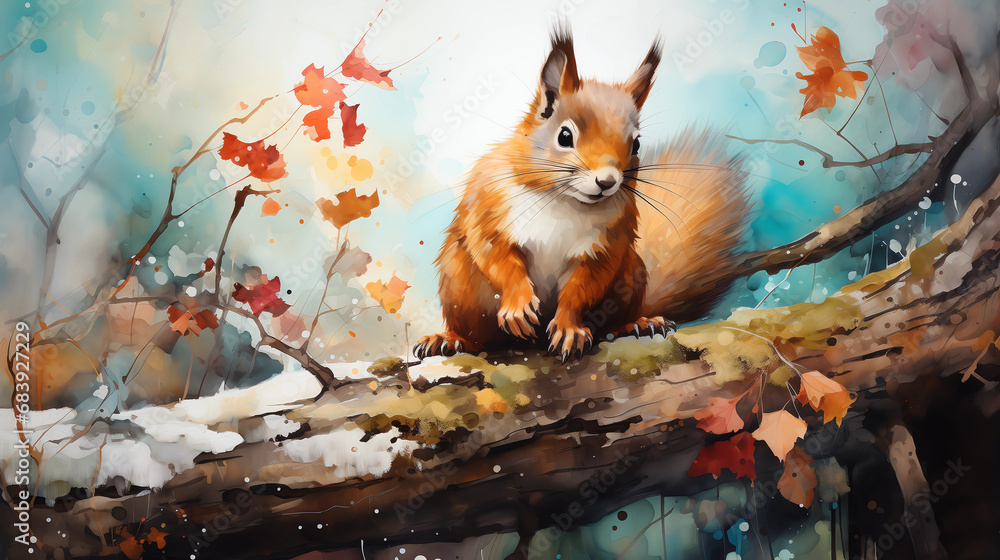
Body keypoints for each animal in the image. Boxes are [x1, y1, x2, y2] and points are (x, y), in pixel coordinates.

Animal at [414, 29, 749, 362]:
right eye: (565, 136)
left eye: (636, 144)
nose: (607, 181)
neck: (564, 200)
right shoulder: (489, 208)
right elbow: (497, 258)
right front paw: (517, 305)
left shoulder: (604, 248)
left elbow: (579, 291)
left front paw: (568, 328)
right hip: (459, 287)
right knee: (476, 336)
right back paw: (448, 339)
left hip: (630, 274)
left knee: (611, 321)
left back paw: (638, 323)